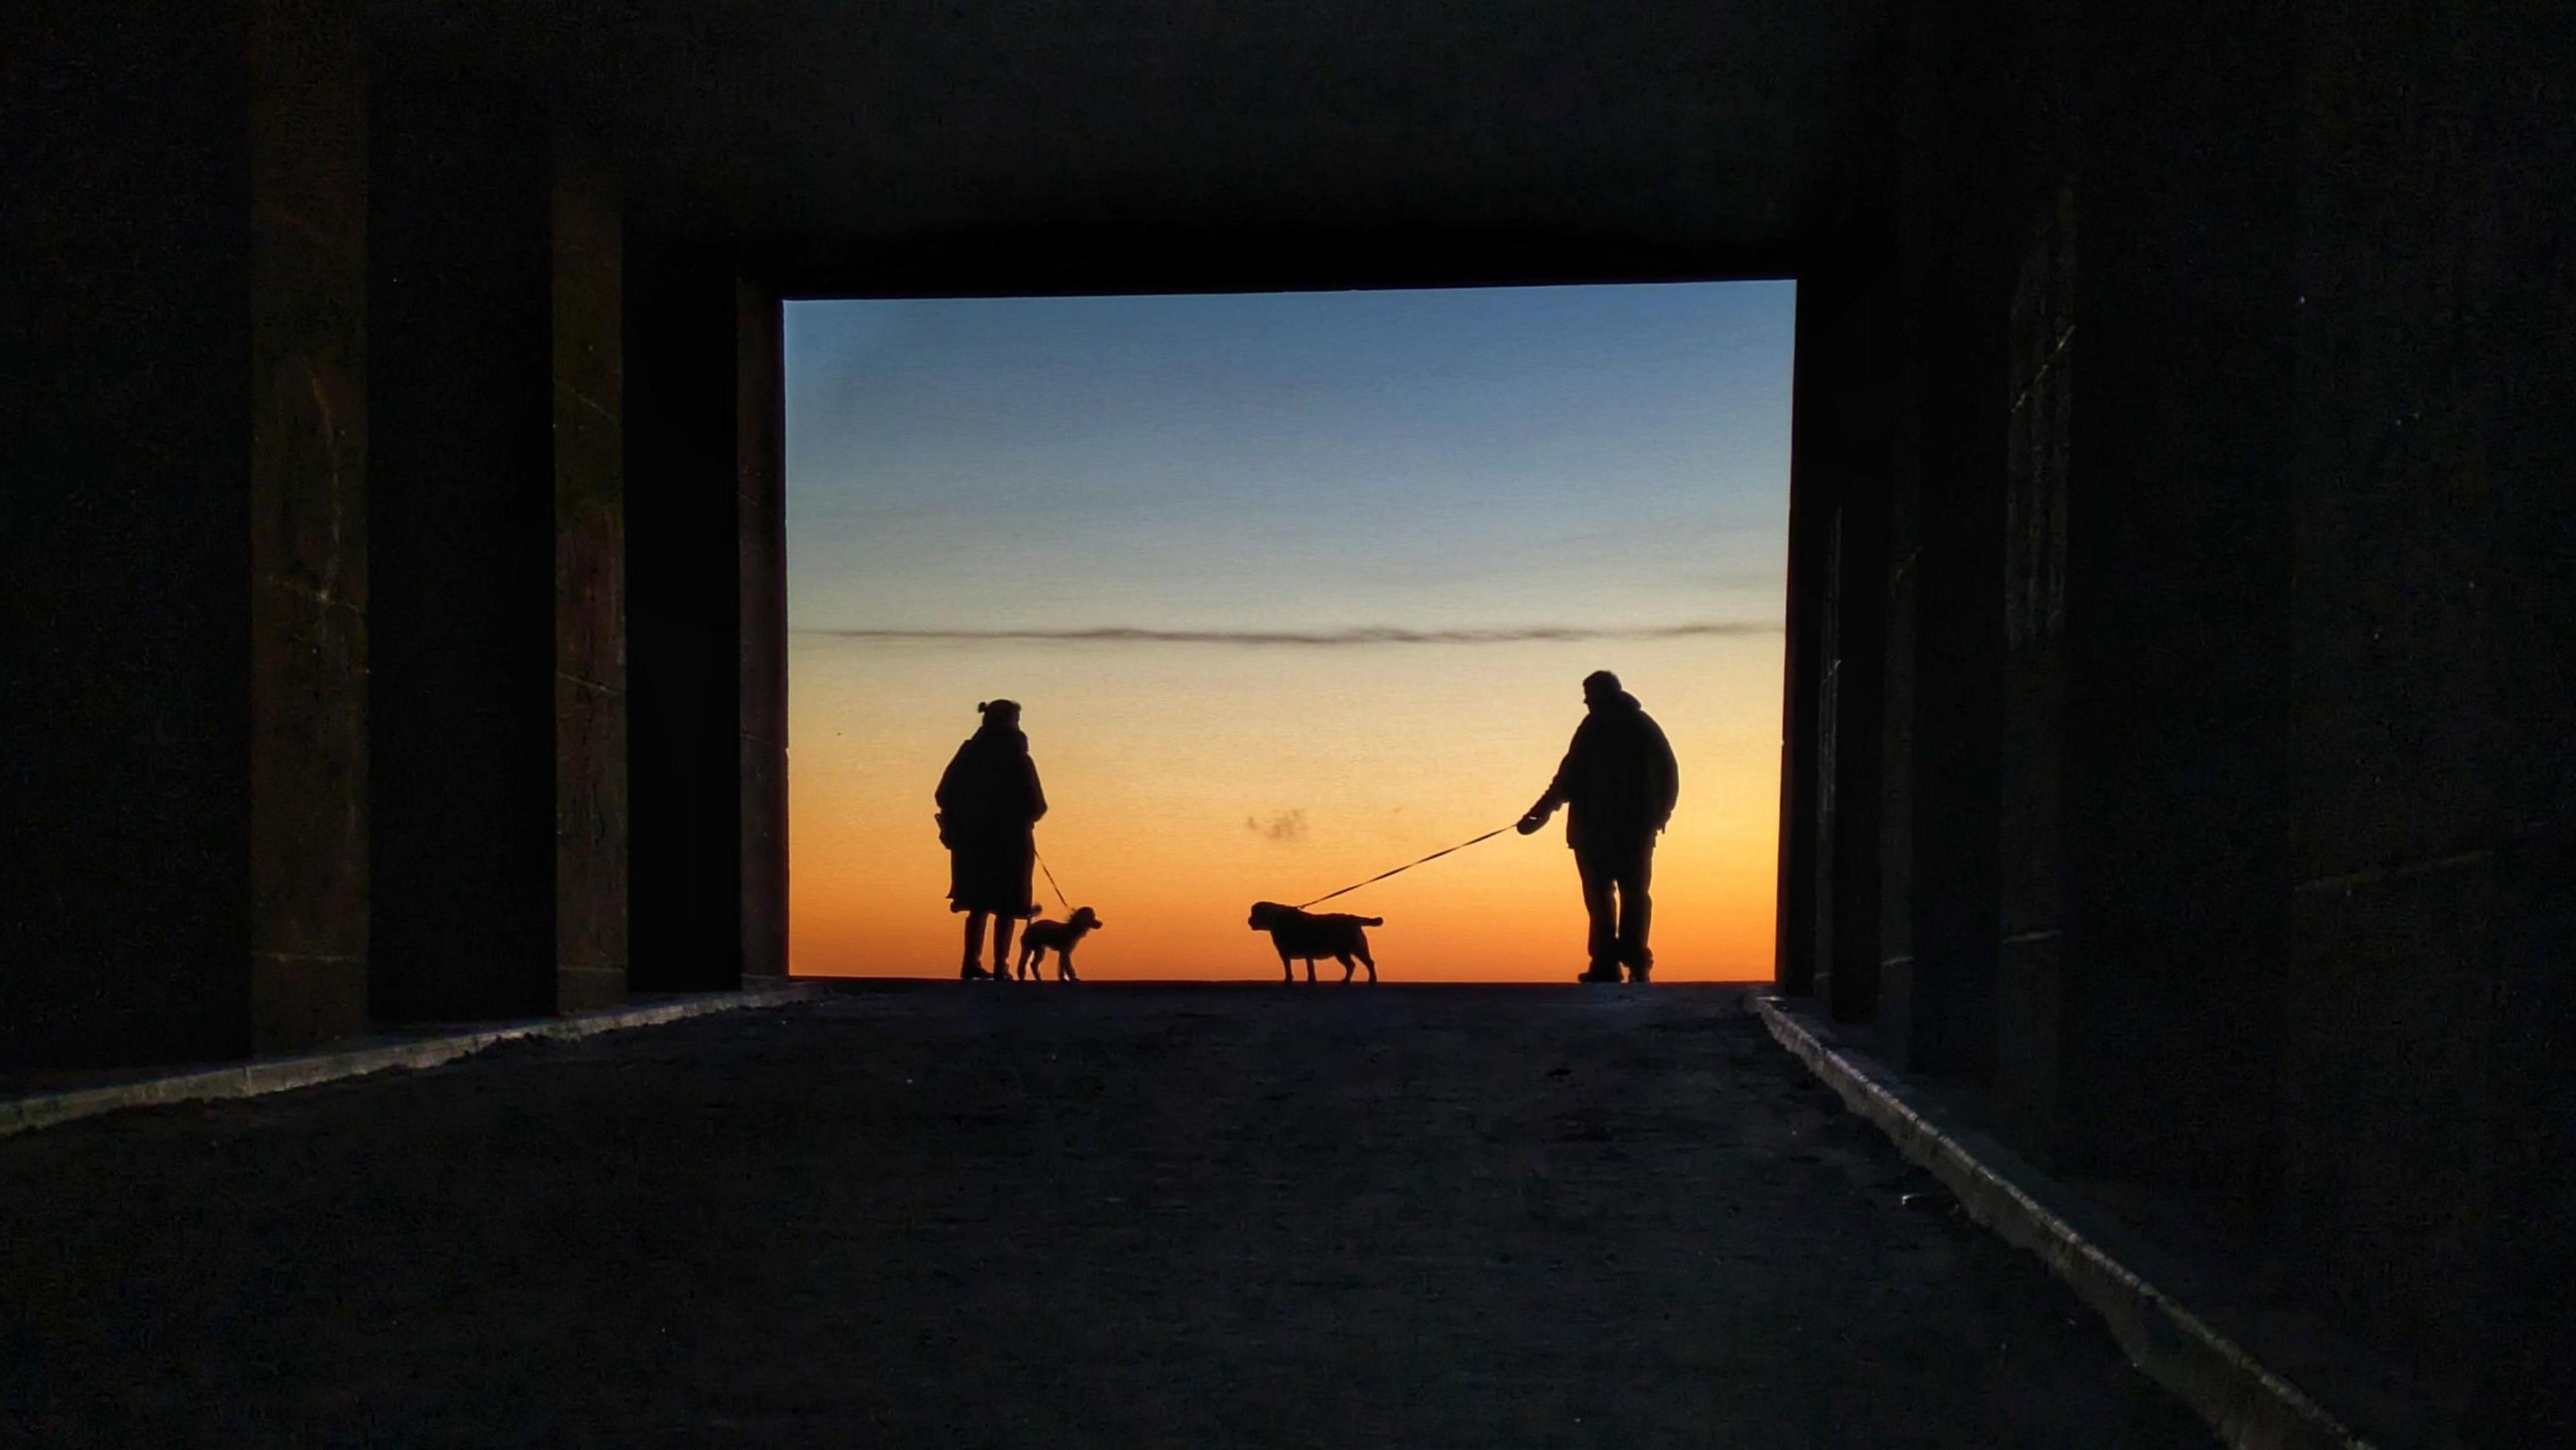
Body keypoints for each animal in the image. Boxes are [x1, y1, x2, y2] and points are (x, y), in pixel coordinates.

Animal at [1010, 907, 1102, 988]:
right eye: (1092, 917)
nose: (1101, 924)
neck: (1072, 929)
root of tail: (1028, 928)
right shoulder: (1065, 952)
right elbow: (1068, 966)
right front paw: (1073, 979)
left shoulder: (1063, 952)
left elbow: (1062, 966)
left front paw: (1063, 979)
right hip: (1029, 947)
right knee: (1023, 962)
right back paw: (1022, 978)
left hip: (1039, 949)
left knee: (1033, 964)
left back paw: (1038, 979)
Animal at [1241, 896, 1370, 988]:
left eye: (1254, 913)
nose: (1249, 920)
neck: (1275, 918)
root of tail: (1353, 918)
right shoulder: (1308, 954)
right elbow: (1310, 968)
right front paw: (1311, 981)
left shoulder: (1285, 953)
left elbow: (1290, 969)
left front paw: (1288, 981)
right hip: (1351, 951)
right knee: (1358, 964)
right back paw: (1352, 981)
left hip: (1349, 950)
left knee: (1363, 964)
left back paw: (1368, 981)